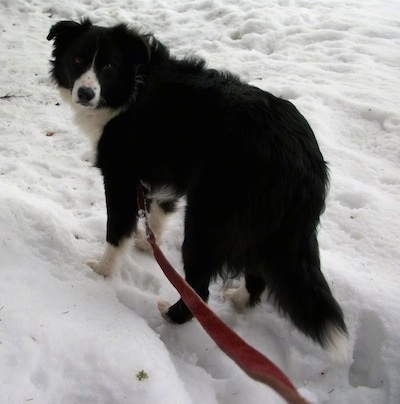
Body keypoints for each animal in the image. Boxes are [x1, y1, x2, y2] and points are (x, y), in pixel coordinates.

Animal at [47, 18, 346, 354]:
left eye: (108, 65)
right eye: (78, 59)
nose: (85, 93)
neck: (133, 86)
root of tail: (306, 163)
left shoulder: (119, 175)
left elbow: (117, 231)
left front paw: (101, 271)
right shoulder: (161, 171)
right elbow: (157, 209)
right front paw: (146, 243)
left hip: (209, 221)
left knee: (201, 288)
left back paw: (172, 314)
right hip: (266, 229)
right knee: (259, 273)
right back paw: (239, 300)